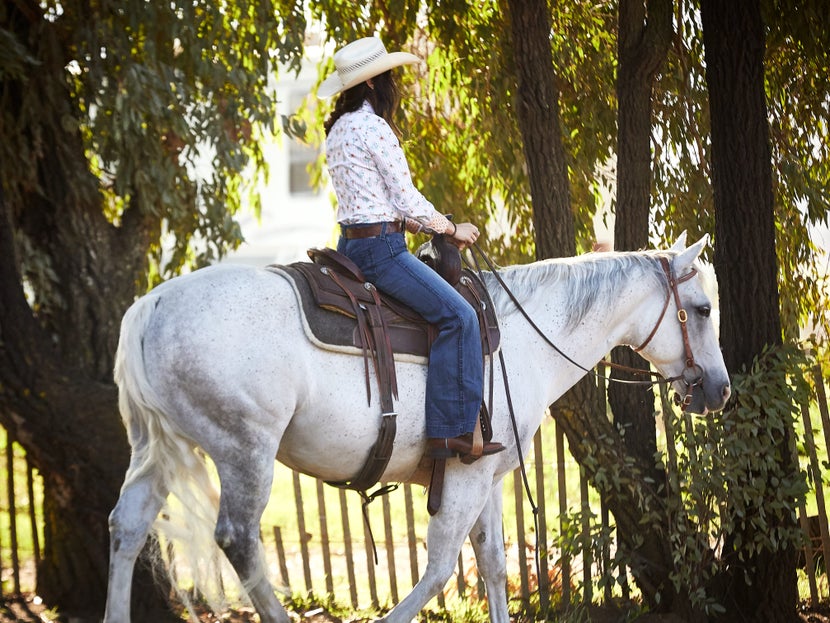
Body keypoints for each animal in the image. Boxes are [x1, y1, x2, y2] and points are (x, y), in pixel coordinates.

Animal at [102, 235, 728, 623]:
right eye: (700, 309)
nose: (719, 391)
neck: (521, 337)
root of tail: (152, 305)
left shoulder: (487, 478)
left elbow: (493, 565)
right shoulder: (464, 477)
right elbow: (440, 570)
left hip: (156, 449)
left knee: (127, 527)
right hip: (243, 450)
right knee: (238, 540)